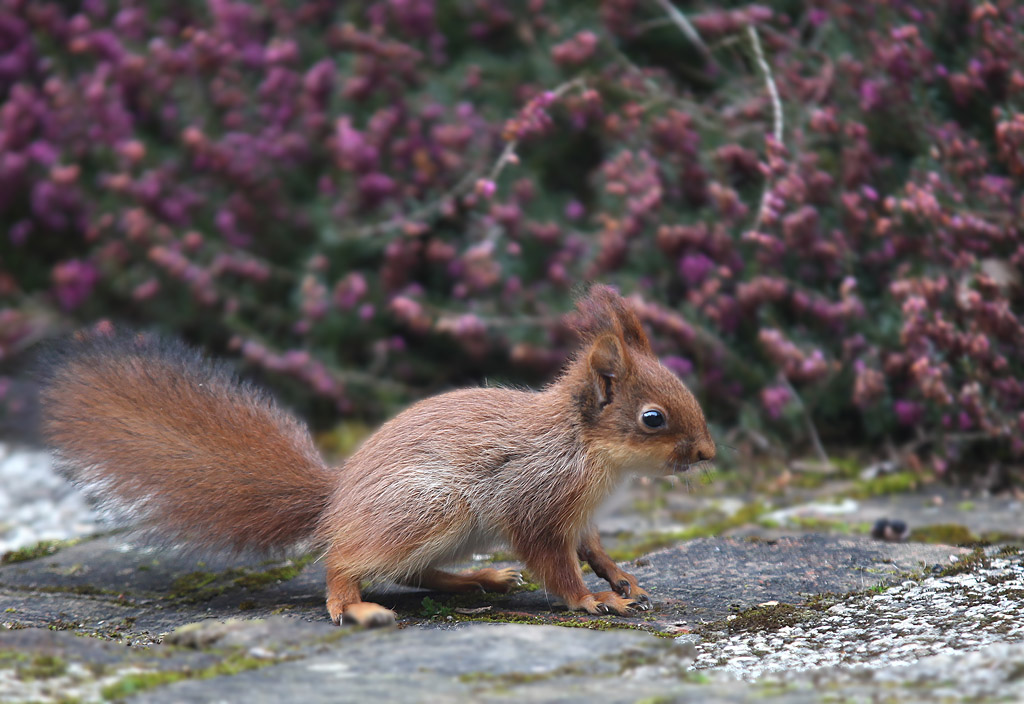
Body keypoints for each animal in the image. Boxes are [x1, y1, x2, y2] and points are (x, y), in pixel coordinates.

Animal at [39, 286, 712, 626]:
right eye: (653, 419)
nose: (706, 453)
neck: (588, 450)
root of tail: (335, 501)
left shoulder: (581, 515)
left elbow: (592, 547)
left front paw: (621, 578)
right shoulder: (539, 499)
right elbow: (556, 562)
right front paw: (591, 599)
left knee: (409, 572)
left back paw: (481, 578)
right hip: (429, 507)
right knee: (346, 560)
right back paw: (353, 606)